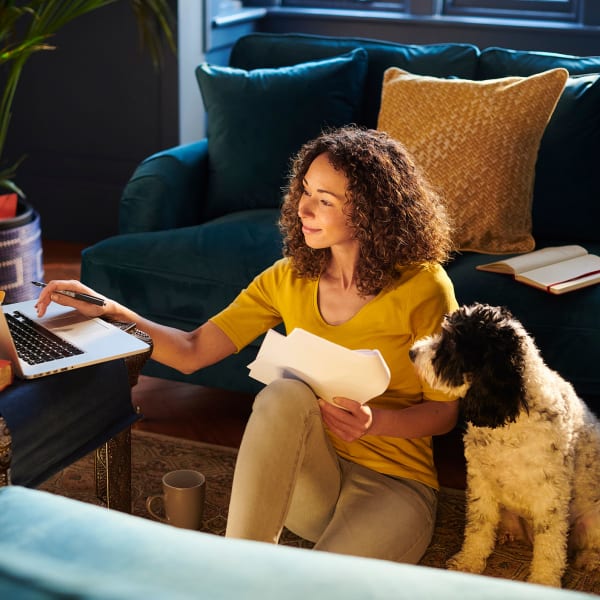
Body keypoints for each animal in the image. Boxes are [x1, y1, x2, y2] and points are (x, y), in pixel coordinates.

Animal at [408, 304, 600, 584]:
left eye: (452, 343)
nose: (412, 352)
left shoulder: (551, 495)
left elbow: (550, 549)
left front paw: (543, 582)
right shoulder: (481, 480)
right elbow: (479, 526)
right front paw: (468, 562)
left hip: (592, 521)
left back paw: (590, 560)